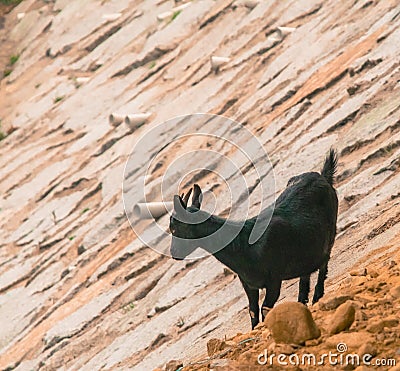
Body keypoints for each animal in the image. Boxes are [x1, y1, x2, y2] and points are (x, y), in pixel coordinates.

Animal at [169, 150, 338, 330]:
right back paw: (303, 303)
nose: (174, 253)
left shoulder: (274, 278)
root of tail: (323, 176)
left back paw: (317, 296)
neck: (244, 245)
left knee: (324, 263)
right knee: (306, 273)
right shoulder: (249, 285)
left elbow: (265, 309)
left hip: (330, 234)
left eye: (174, 228)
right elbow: (253, 312)